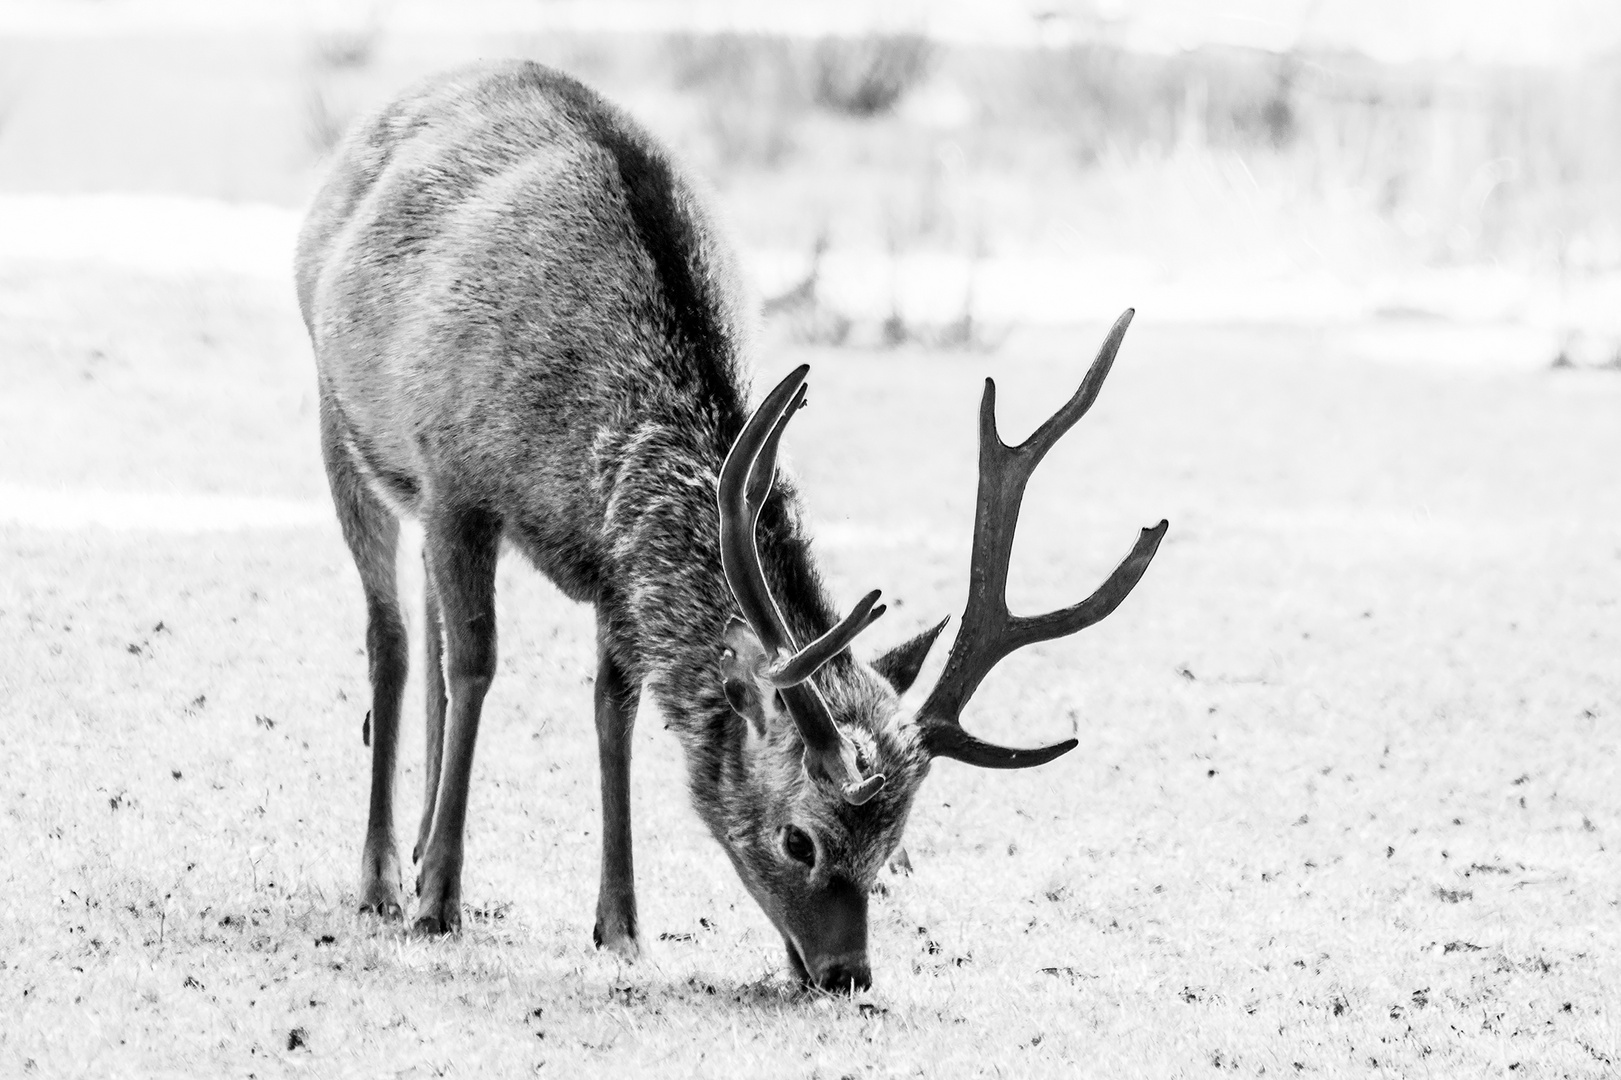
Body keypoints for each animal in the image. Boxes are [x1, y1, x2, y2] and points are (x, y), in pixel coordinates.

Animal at [295, 56, 1167, 985]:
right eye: (798, 841)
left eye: (893, 847)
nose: (847, 974)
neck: (585, 442)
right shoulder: (457, 481)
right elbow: (477, 666)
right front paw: (439, 904)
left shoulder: (613, 566)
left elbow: (614, 706)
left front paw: (620, 924)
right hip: (345, 429)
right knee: (393, 637)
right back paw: (385, 877)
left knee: (425, 629)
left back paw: (421, 847)